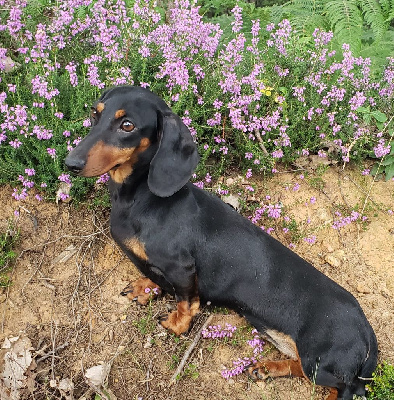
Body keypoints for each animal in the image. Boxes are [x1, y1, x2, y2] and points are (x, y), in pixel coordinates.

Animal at [65, 86, 378, 398]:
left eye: (127, 125)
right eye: (95, 113)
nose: (70, 164)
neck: (142, 198)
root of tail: (367, 333)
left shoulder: (182, 268)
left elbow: (186, 302)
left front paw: (177, 324)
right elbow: (155, 277)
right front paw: (146, 287)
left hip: (322, 364)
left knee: (338, 386)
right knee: (299, 367)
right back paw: (266, 368)